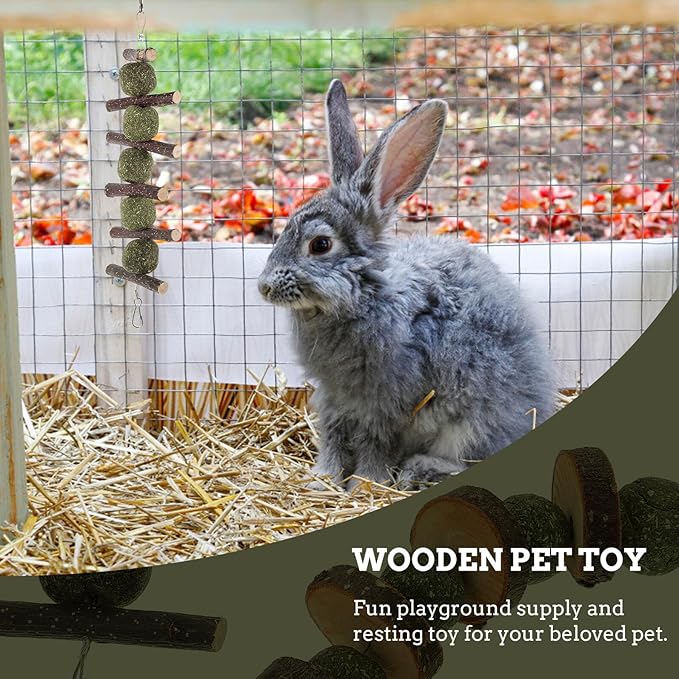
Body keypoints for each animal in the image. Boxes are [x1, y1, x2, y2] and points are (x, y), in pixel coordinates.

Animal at [258, 79, 556, 490]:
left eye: (320, 245)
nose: (264, 287)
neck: (365, 296)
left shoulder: (386, 403)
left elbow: (375, 443)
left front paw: (364, 484)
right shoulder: (333, 398)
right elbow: (332, 436)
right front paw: (322, 480)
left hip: (472, 423)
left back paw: (419, 470)